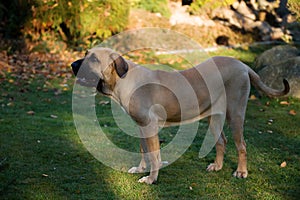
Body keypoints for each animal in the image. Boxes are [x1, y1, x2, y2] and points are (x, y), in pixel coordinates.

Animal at [71, 47, 290, 184]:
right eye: (86, 54)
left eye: (93, 59)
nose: (73, 65)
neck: (123, 79)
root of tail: (242, 65)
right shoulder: (141, 126)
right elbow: (143, 151)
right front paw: (141, 169)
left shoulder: (149, 127)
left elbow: (154, 155)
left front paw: (151, 179)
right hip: (213, 117)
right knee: (222, 141)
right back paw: (217, 166)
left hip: (235, 115)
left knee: (241, 145)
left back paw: (241, 171)